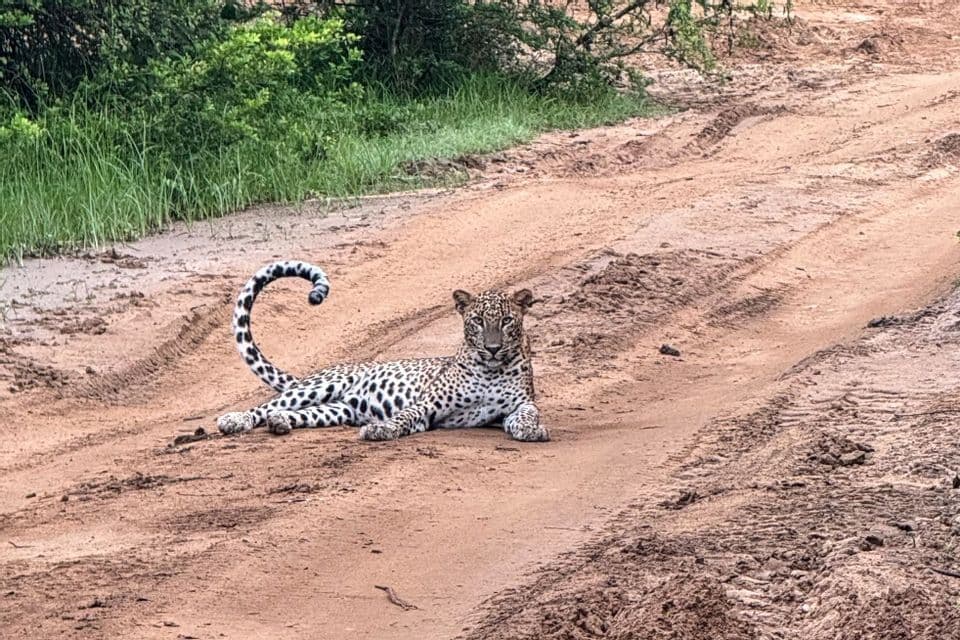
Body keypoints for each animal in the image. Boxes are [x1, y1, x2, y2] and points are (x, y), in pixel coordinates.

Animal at [216, 260, 549, 442]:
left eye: (506, 321)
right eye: (477, 321)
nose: (493, 348)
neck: (491, 369)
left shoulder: (520, 405)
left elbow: (527, 416)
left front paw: (532, 431)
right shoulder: (428, 404)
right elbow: (403, 418)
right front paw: (380, 430)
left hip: (337, 409)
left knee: (295, 413)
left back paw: (281, 423)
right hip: (321, 386)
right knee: (265, 407)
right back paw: (235, 420)